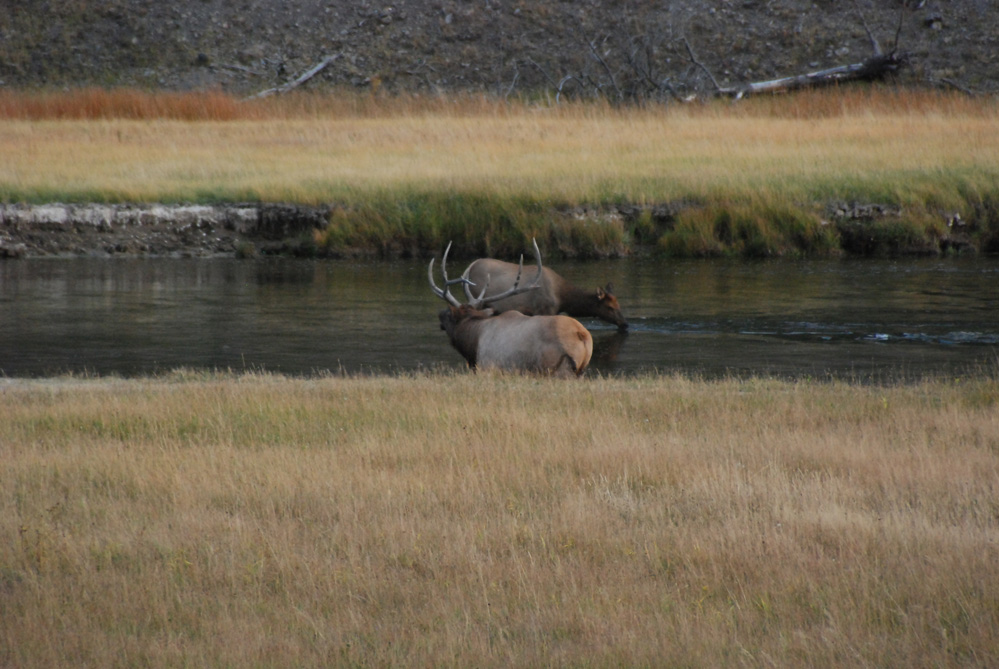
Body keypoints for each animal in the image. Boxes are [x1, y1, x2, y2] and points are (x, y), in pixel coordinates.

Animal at [430, 240, 592, 376]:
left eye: (449, 314)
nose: (439, 314)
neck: (473, 341)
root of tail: (582, 335)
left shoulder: (488, 366)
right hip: (580, 371)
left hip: (558, 368)